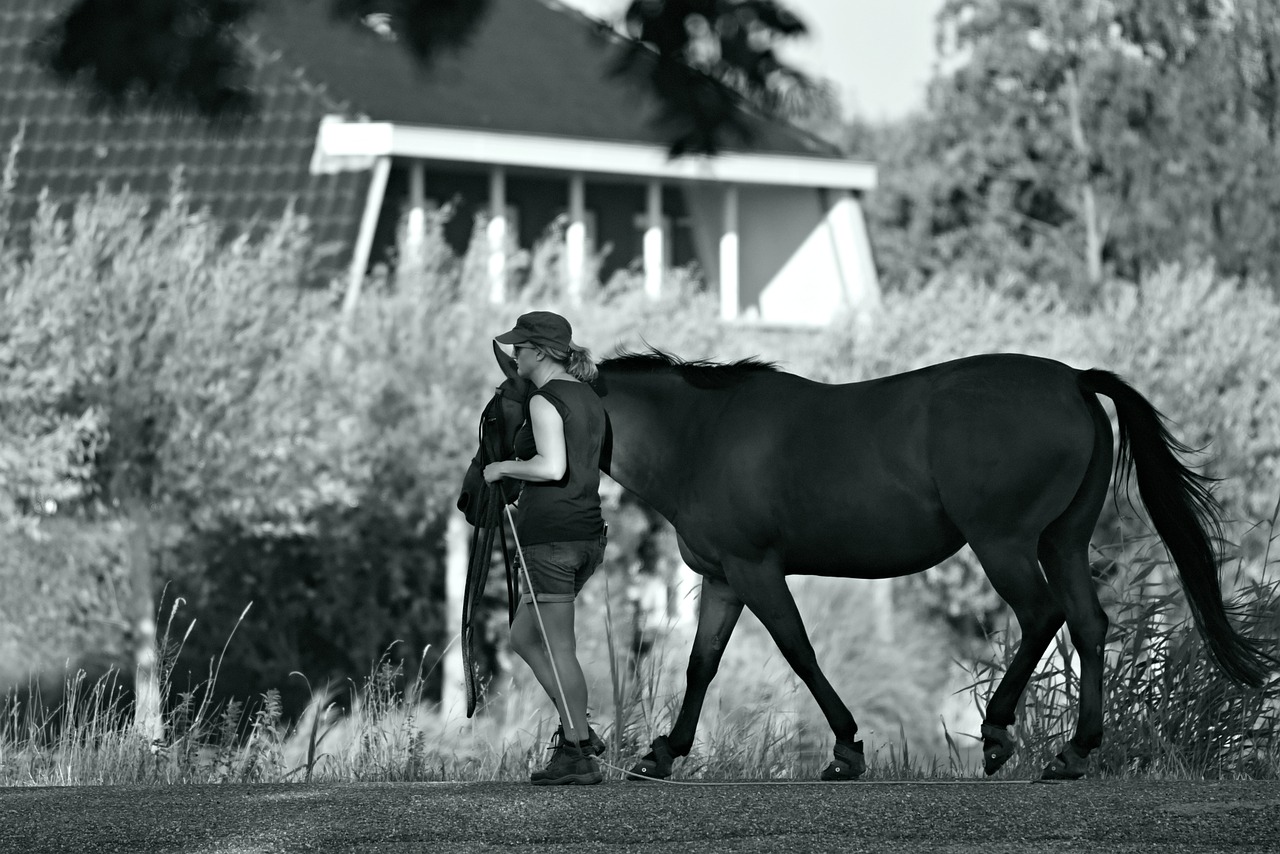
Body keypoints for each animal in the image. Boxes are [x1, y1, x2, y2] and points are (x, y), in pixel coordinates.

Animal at [458, 343, 1269, 783]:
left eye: (495, 413)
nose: (472, 500)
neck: (703, 434)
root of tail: (1072, 379)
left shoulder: (756, 571)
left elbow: (799, 653)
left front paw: (847, 748)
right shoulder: (722, 578)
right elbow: (702, 664)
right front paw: (664, 752)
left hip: (1004, 543)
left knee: (1043, 616)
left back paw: (1000, 733)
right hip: (1061, 541)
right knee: (1091, 625)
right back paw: (1074, 751)